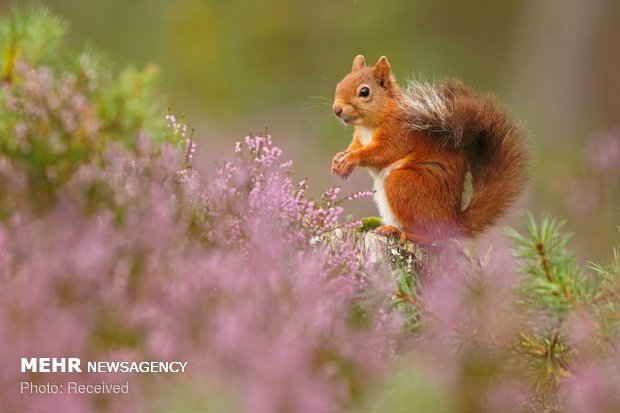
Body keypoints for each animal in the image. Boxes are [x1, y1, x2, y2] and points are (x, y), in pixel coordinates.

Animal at [332, 54, 524, 241]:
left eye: (364, 92)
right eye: (339, 84)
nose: (336, 110)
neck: (368, 125)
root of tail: (451, 223)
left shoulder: (398, 133)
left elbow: (382, 152)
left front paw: (351, 159)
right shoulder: (359, 138)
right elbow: (355, 147)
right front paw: (339, 160)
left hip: (404, 185)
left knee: (430, 237)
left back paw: (400, 233)